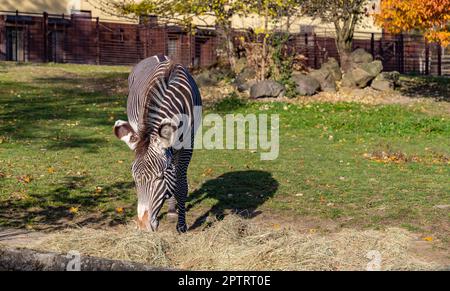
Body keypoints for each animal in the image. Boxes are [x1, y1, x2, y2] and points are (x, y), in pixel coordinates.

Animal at [113, 54, 201, 233]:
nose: (143, 227)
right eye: (134, 179)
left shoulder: (188, 144)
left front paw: (181, 226)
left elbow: (180, 183)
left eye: (160, 177)